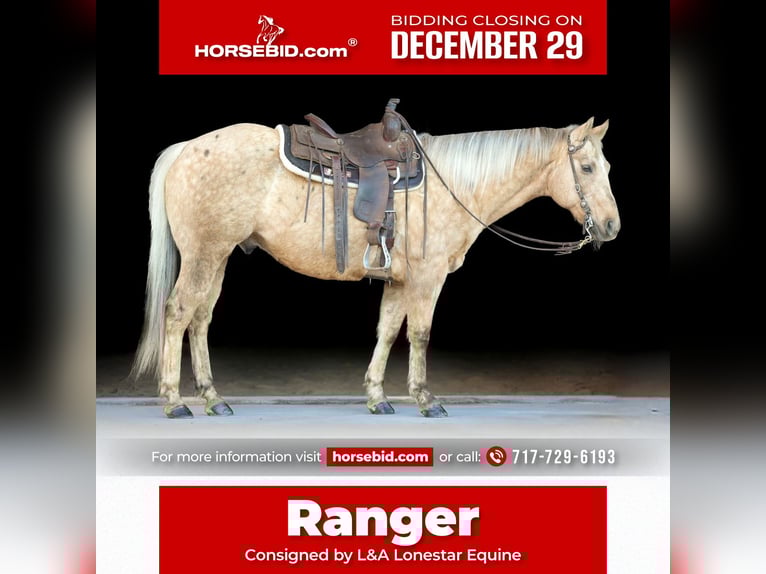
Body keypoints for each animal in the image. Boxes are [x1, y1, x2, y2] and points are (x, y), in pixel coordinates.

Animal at [130, 109, 619, 419]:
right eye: (588, 168)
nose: (612, 226)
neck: (453, 183)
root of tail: (185, 149)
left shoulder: (399, 280)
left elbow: (386, 331)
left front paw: (377, 396)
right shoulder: (427, 277)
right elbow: (419, 334)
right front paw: (425, 398)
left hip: (218, 257)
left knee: (200, 319)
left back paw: (214, 399)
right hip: (204, 255)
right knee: (178, 313)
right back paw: (175, 402)